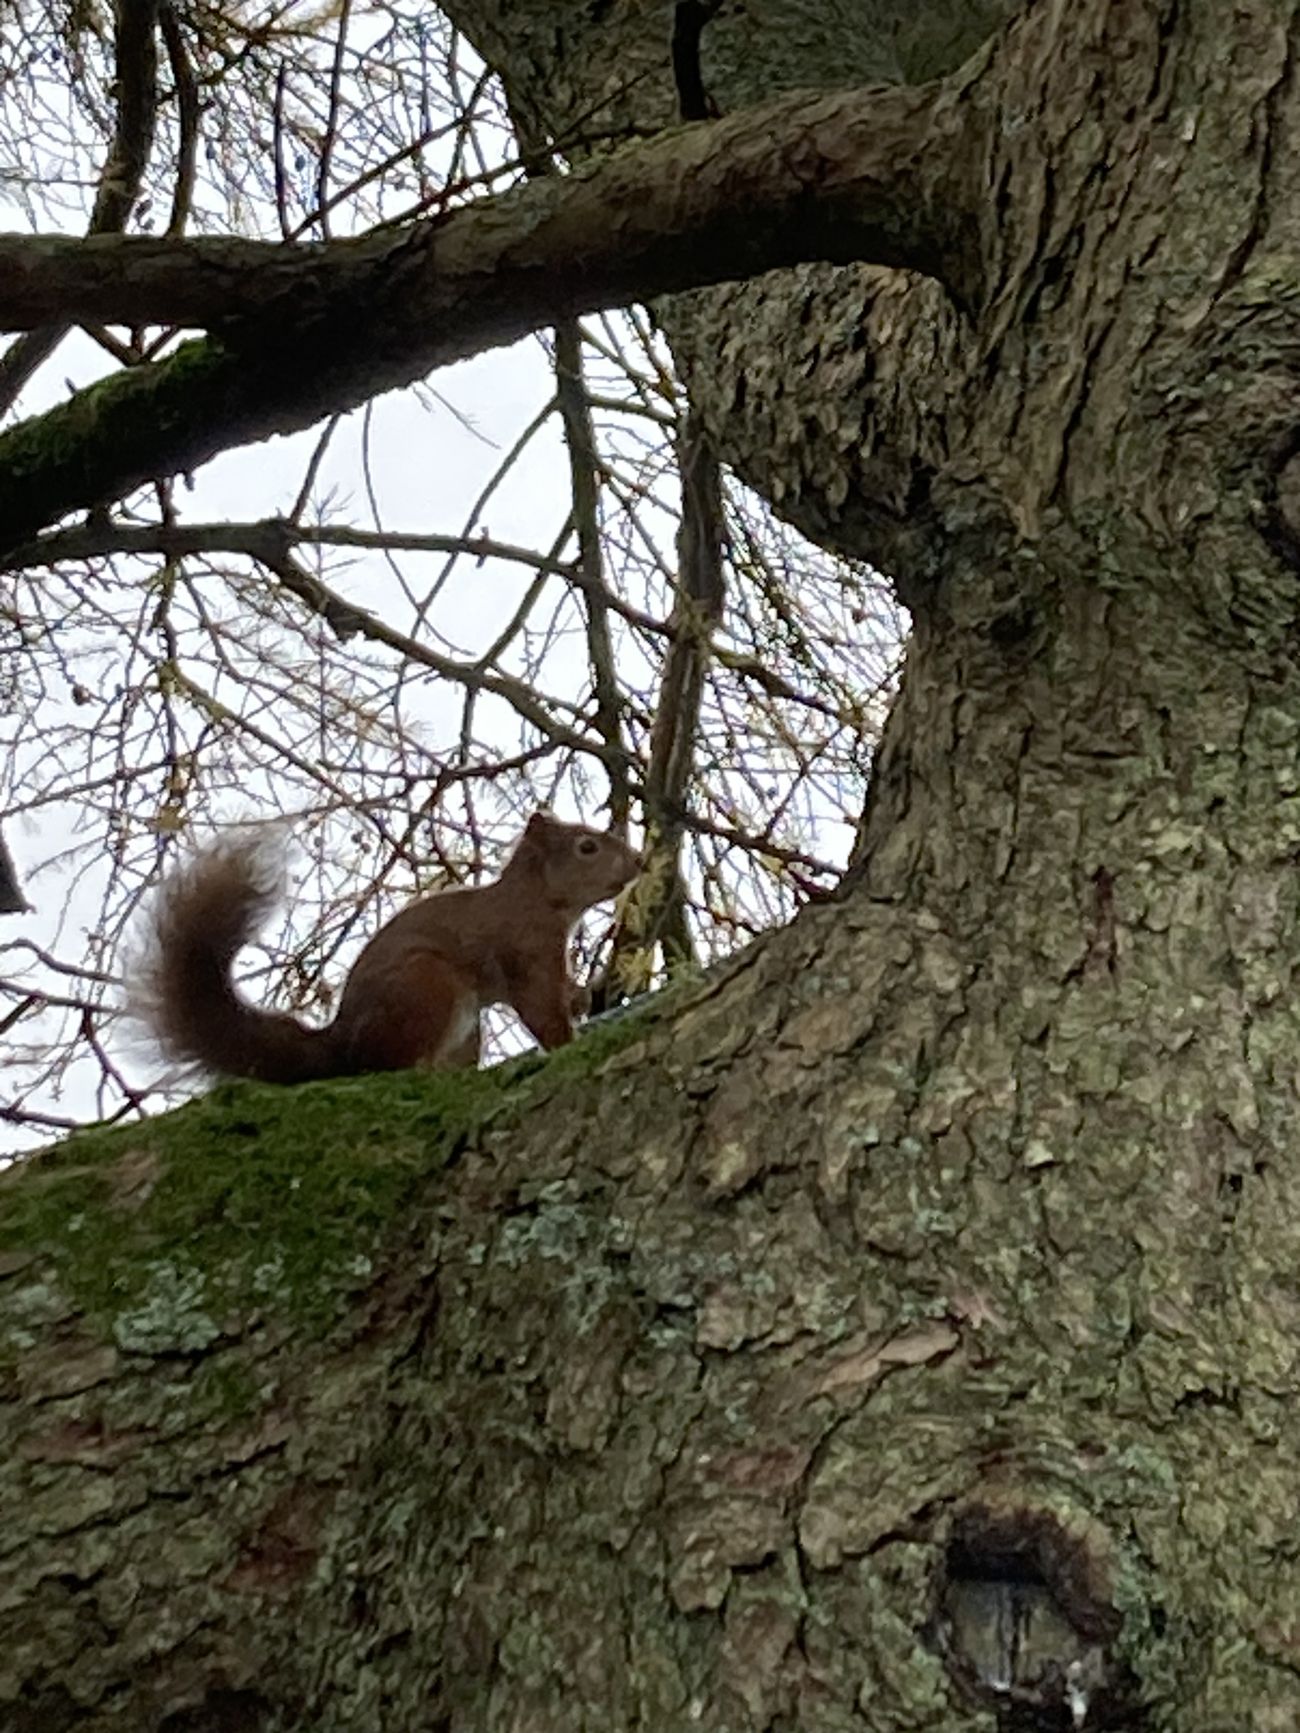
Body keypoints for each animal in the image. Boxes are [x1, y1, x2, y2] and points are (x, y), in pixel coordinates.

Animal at [140, 810, 641, 1084]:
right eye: (587, 846)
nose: (637, 861)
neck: (536, 900)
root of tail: (341, 1046)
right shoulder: (526, 952)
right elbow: (541, 1010)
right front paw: (569, 1042)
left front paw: (585, 995)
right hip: (427, 986)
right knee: (392, 1064)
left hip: (464, 1029)